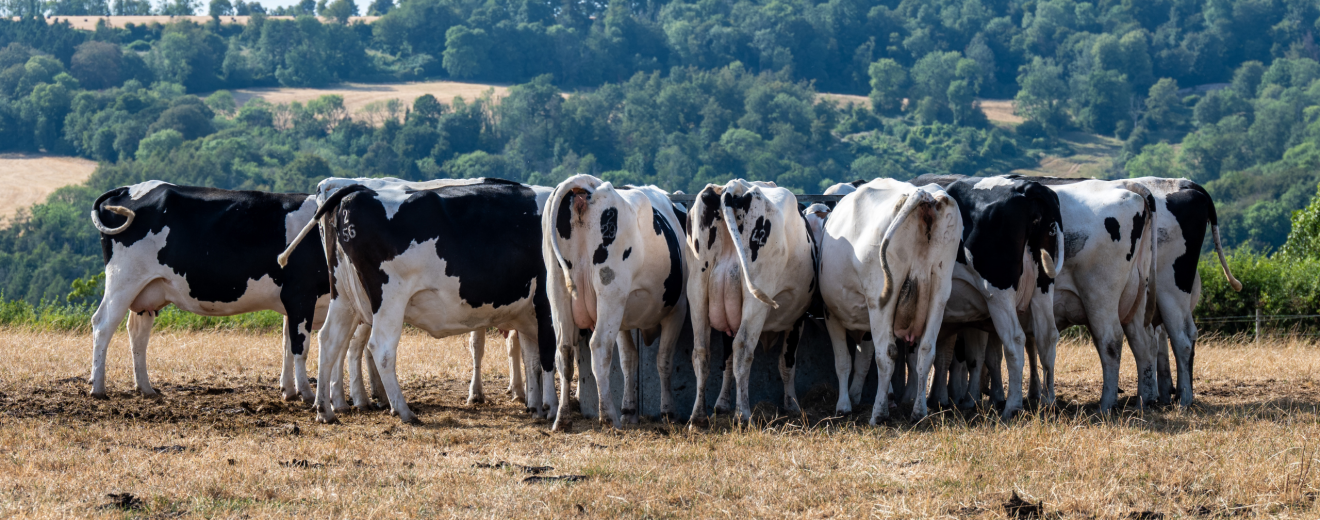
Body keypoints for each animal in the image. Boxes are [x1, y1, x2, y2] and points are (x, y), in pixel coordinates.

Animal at [89, 181, 329, 402]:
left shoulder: (294, 304)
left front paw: (288, 391)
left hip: (147, 291)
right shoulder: (300, 295)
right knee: (103, 324)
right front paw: (306, 393)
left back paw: (146, 388)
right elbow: (300, 346)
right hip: (123, 280)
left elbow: (287, 345)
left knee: (138, 333)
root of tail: (128, 188)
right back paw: (98, 389)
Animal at [279, 177, 558, 425]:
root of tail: (356, 191)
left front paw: (536, 405)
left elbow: (532, 358)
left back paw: (325, 410)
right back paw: (403, 411)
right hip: (389, 298)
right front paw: (552, 408)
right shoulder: (547, 307)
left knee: (329, 341)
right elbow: (548, 355)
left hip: (344, 296)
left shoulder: (528, 313)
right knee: (380, 348)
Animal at [544, 174, 689, 430]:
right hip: (610, 294)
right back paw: (608, 416)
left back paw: (562, 418)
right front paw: (668, 412)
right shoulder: (677, 309)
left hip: (558, 291)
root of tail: (587, 187)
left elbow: (629, 359)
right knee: (599, 346)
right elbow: (664, 360)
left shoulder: (624, 318)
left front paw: (629, 411)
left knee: (564, 351)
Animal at [685, 179, 816, 424]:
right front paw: (792, 405)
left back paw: (698, 417)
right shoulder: (797, 318)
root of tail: (734, 187)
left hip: (697, 288)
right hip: (755, 298)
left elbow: (726, 360)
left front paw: (721, 404)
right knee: (743, 349)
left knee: (701, 351)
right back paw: (743, 414)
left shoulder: (728, 320)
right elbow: (786, 362)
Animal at [818, 179, 963, 424]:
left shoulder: (832, 314)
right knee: (926, 351)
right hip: (940, 291)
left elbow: (844, 361)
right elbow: (862, 360)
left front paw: (844, 405)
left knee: (886, 355)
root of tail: (921, 194)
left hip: (881, 301)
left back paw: (878, 414)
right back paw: (919, 412)